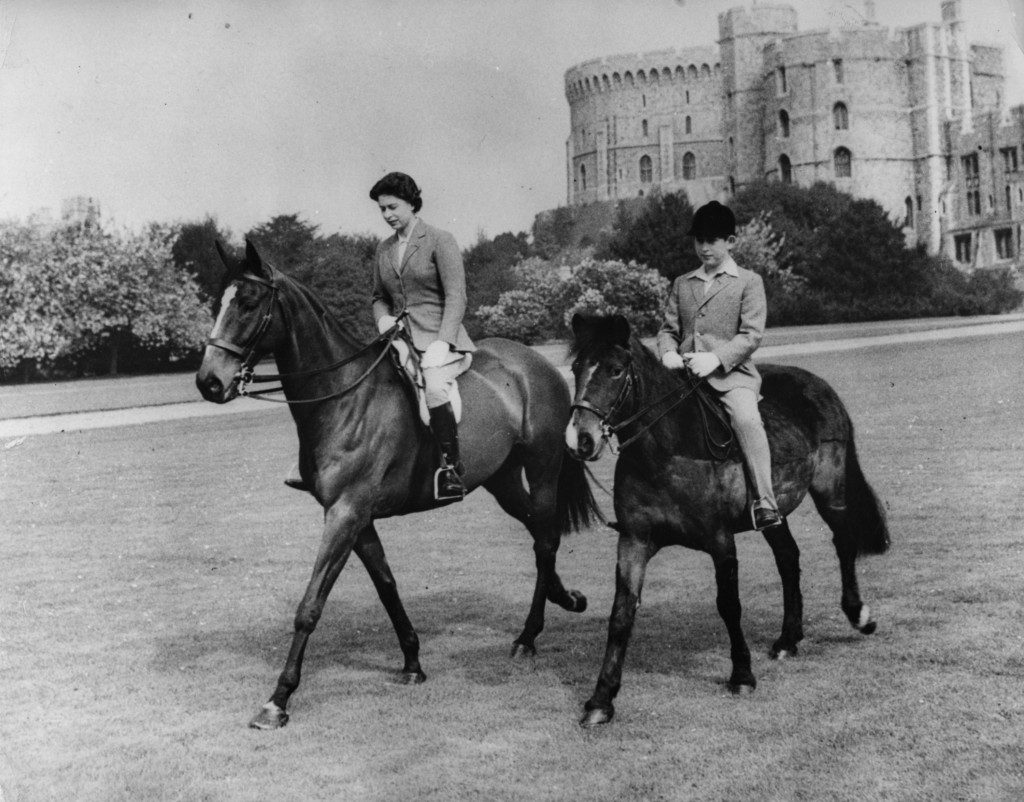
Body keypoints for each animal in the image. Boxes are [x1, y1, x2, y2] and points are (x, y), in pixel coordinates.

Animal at [193, 242, 598, 729]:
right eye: (218, 304)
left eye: (249, 303)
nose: (208, 382)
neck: (345, 396)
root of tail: (538, 364)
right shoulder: (357, 518)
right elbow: (387, 585)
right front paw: (412, 663)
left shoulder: (345, 514)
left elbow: (310, 606)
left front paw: (278, 699)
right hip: (501, 480)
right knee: (539, 532)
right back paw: (565, 599)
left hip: (541, 469)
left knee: (546, 538)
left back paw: (529, 635)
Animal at [565, 313, 892, 729]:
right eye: (576, 368)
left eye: (615, 370)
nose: (580, 440)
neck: (666, 451)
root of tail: (818, 386)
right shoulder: (634, 541)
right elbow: (621, 614)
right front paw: (601, 699)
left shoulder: (720, 540)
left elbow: (729, 605)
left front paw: (742, 675)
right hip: (774, 511)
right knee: (788, 558)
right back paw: (788, 639)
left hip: (830, 491)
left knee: (843, 542)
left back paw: (858, 615)